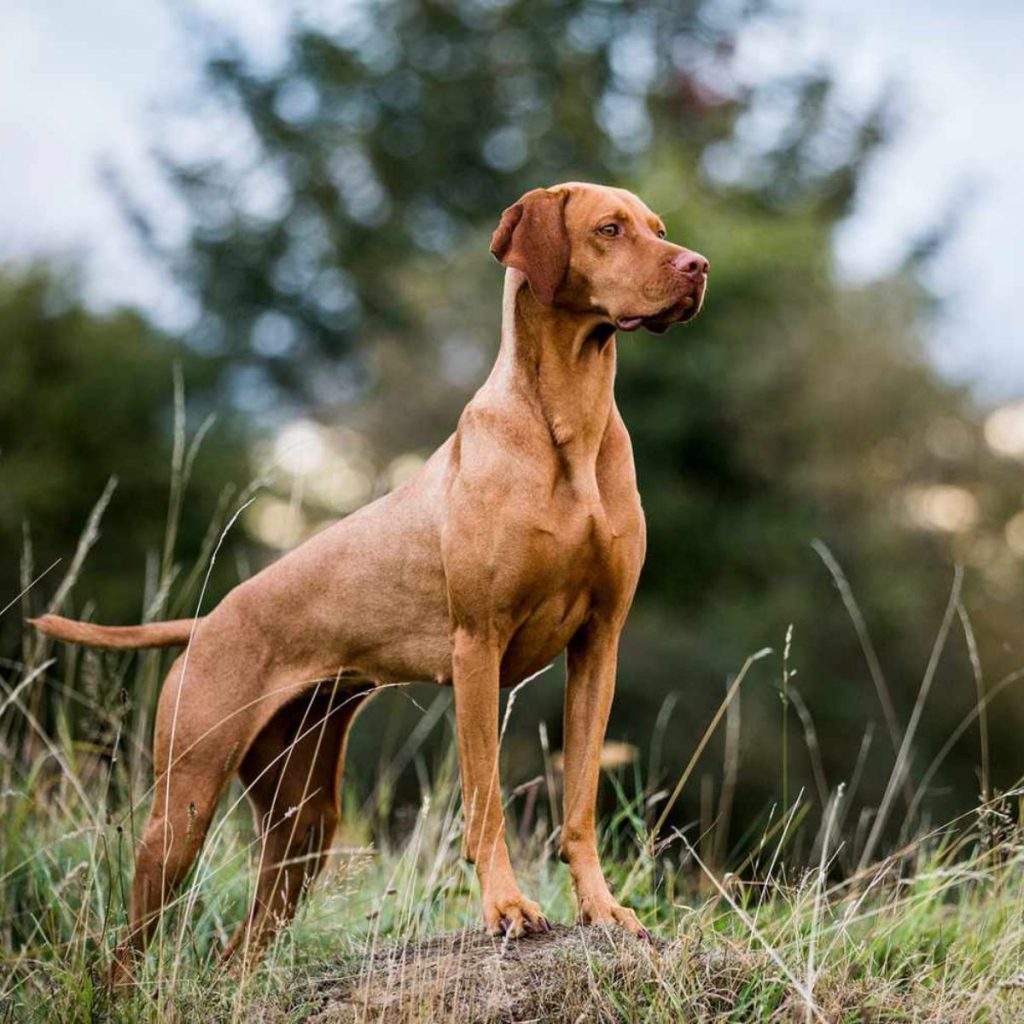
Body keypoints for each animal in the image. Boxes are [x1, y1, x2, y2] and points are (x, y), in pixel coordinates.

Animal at [29, 180, 704, 970]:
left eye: (658, 227)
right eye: (610, 229)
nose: (698, 266)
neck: (568, 422)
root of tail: (208, 620)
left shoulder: (599, 642)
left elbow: (580, 806)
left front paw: (602, 909)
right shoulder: (477, 646)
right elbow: (485, 801)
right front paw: (507, 908)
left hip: (303, 821)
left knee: (242, 946)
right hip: (183, 806)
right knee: (128, 947)